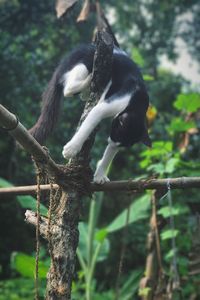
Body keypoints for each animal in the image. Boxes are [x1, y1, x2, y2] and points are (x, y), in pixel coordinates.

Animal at [29, 44, 151, 183]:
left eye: (120, 144)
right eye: (115, 131)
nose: (111, 141)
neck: (138, 105)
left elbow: (109, 154)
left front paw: (100, 175)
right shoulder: (116, 102)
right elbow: (91, 121)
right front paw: (71, 149)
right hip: (86, 62)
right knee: (68, 89)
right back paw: (87, 80)